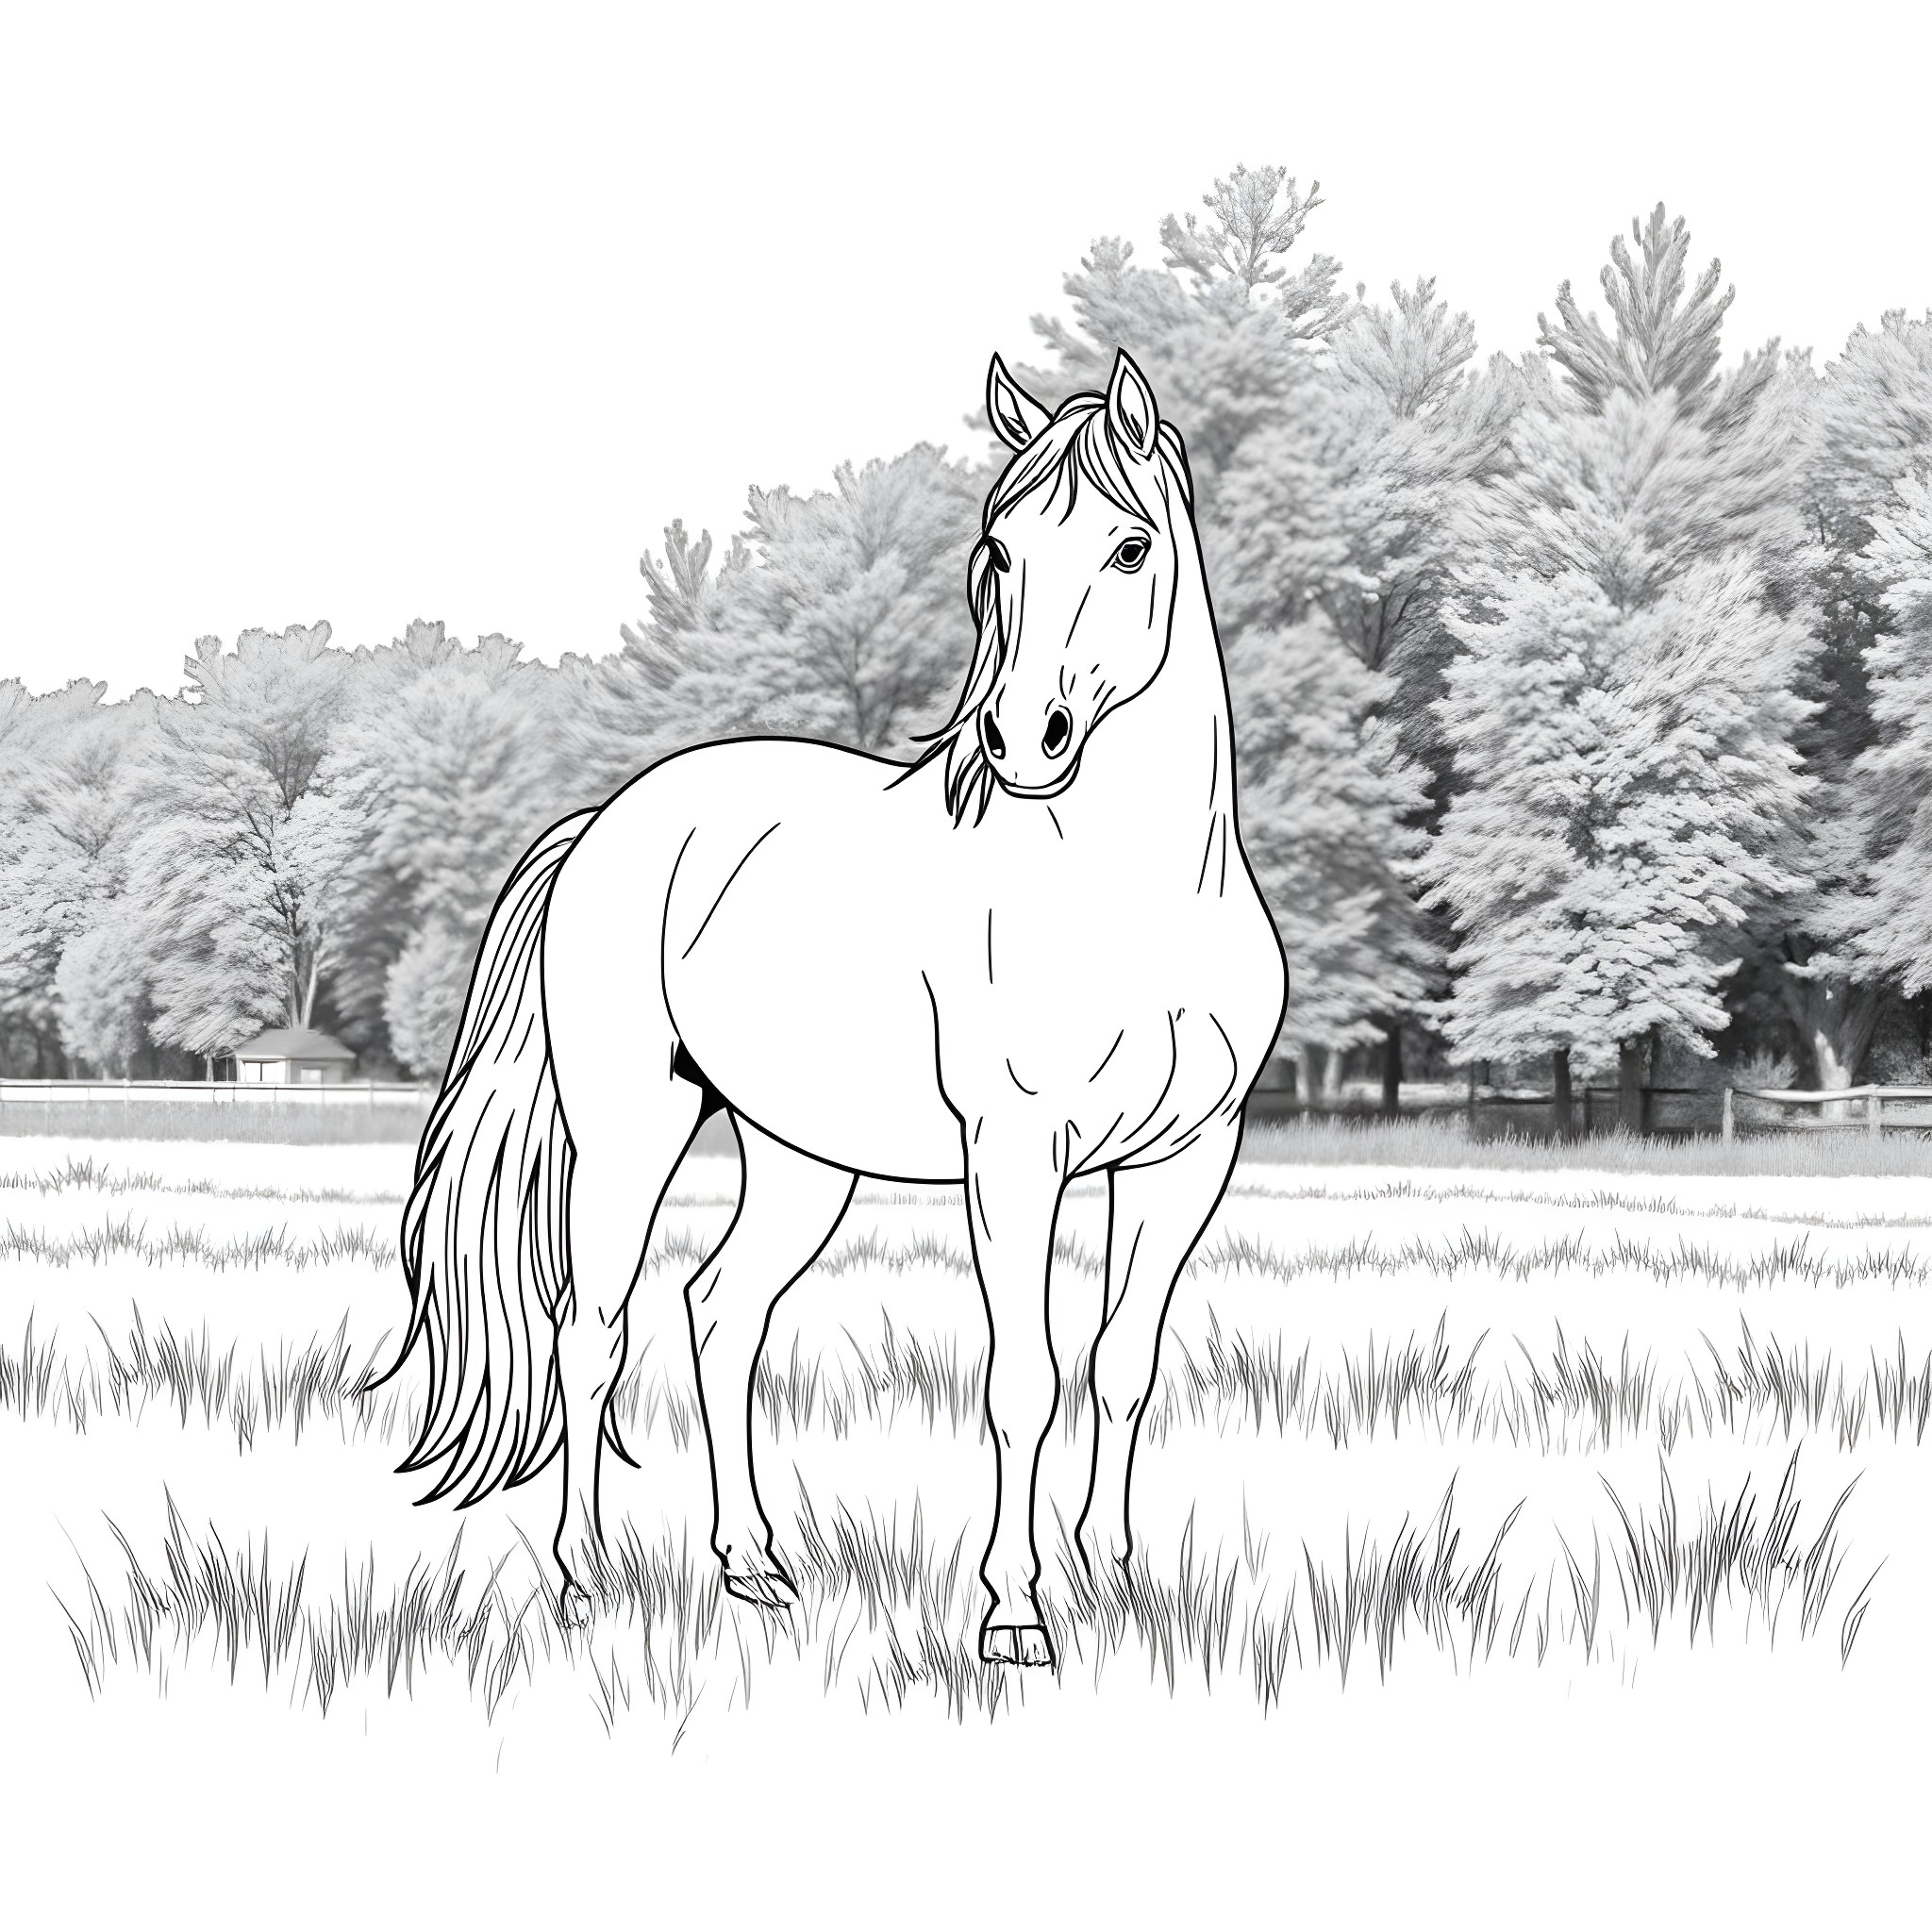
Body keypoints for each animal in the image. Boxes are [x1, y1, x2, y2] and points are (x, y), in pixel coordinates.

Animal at [383, 349, 1288, 1668]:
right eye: (998, 549)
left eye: (1131, 548)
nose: (1022, 739)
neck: (1131, 900)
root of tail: (607, 819)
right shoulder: (1014, 1154)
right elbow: (1024, 1377)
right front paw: (1014, 1611)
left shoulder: (1186, 1159)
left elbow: (1122, 1361)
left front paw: (1117, 1574)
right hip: (628, 1131)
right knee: (591, 1330)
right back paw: (581, 1577)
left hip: (798, 1155)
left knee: (721, 1313)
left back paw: (752, 1564)